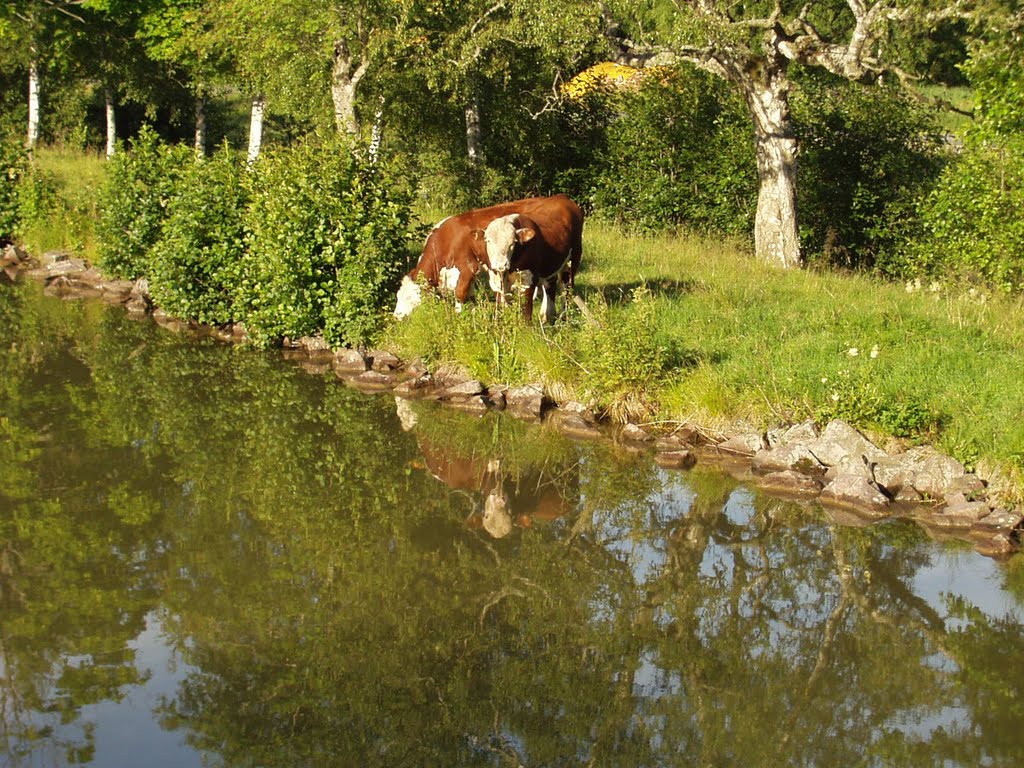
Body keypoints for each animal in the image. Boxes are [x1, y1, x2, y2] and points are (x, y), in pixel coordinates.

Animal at [391, 195, 585, 325]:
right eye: (398, 296)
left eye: (409, 298)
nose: (396, 316)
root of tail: (562, 198)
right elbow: (471, 297)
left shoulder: (467, 267)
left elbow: (460, 294)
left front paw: (459, 318)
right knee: (549, 285)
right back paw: (547, 315)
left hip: (574, 258)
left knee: (566, 286)